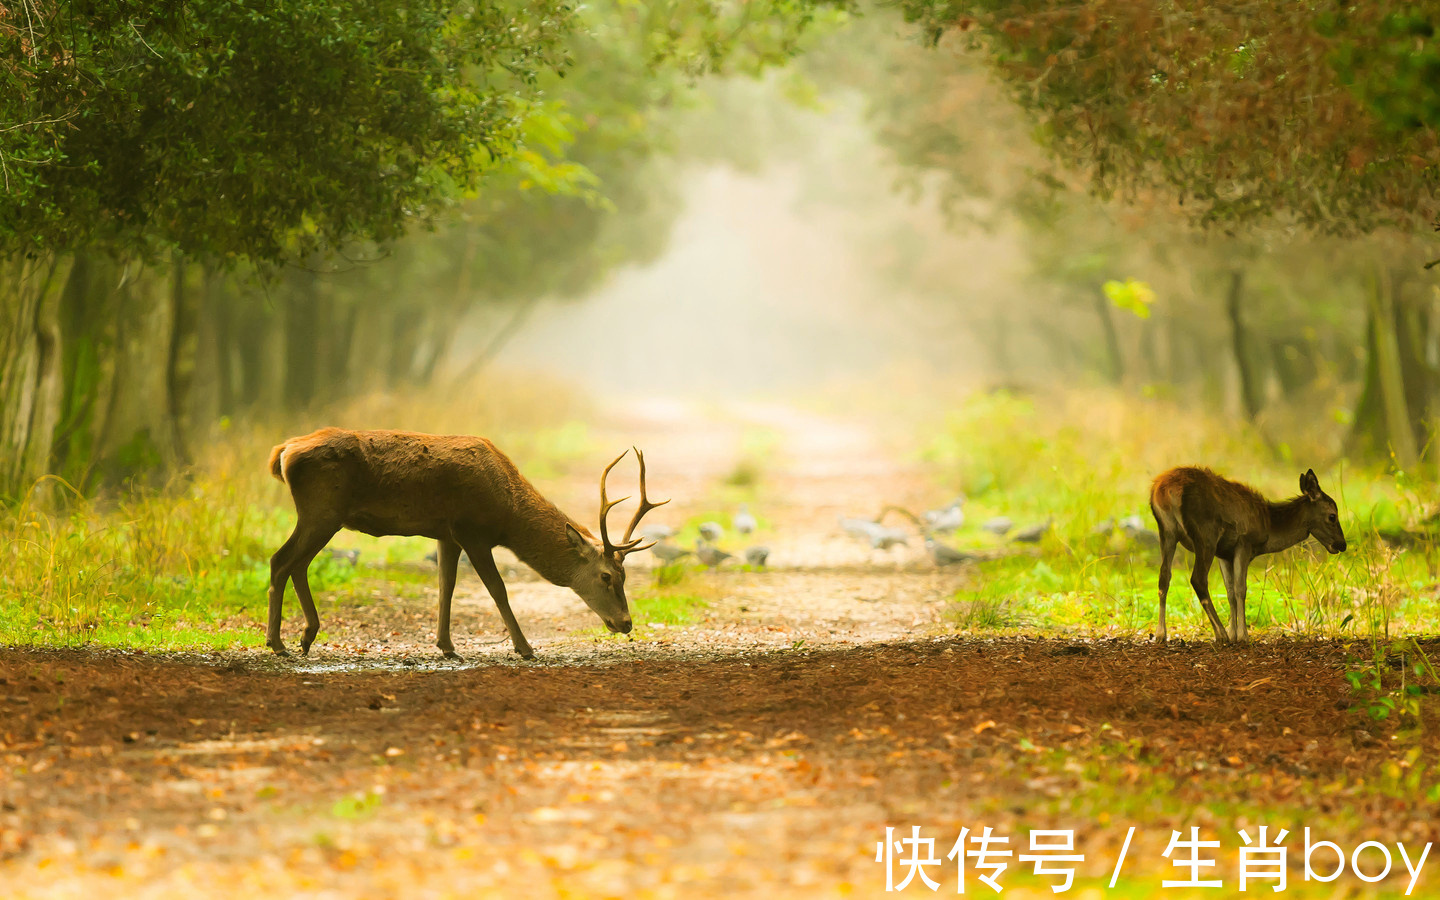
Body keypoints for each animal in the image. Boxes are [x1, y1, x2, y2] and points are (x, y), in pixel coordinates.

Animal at [266, 423, 668, 656]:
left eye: (625, 576)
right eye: (607, 576)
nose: (626, 623)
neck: (507, 512)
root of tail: (283, 452)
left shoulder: (446, 534)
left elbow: (446, 587)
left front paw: (446, 647)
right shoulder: (472, 530)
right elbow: (497, 589)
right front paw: (524, 648)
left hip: (322, 515)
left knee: (295, 563)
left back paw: (306, 636)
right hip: (322, 509)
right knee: (281, 560)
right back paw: (279, 642)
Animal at [1146, 466, 1347, 642]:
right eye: (1332, 516)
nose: (1342, 544)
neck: (1268, 526)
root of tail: (1164, 490)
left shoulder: (1224, 554)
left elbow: (1229, 592)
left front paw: (1234, 632)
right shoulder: (1244, 543)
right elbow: (1240, 589)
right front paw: (1242, 635)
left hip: (1166, 531)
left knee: (1164, 576)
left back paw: (1160, 634)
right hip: (1205, 533)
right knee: (1198, 579)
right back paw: (1220, 634)